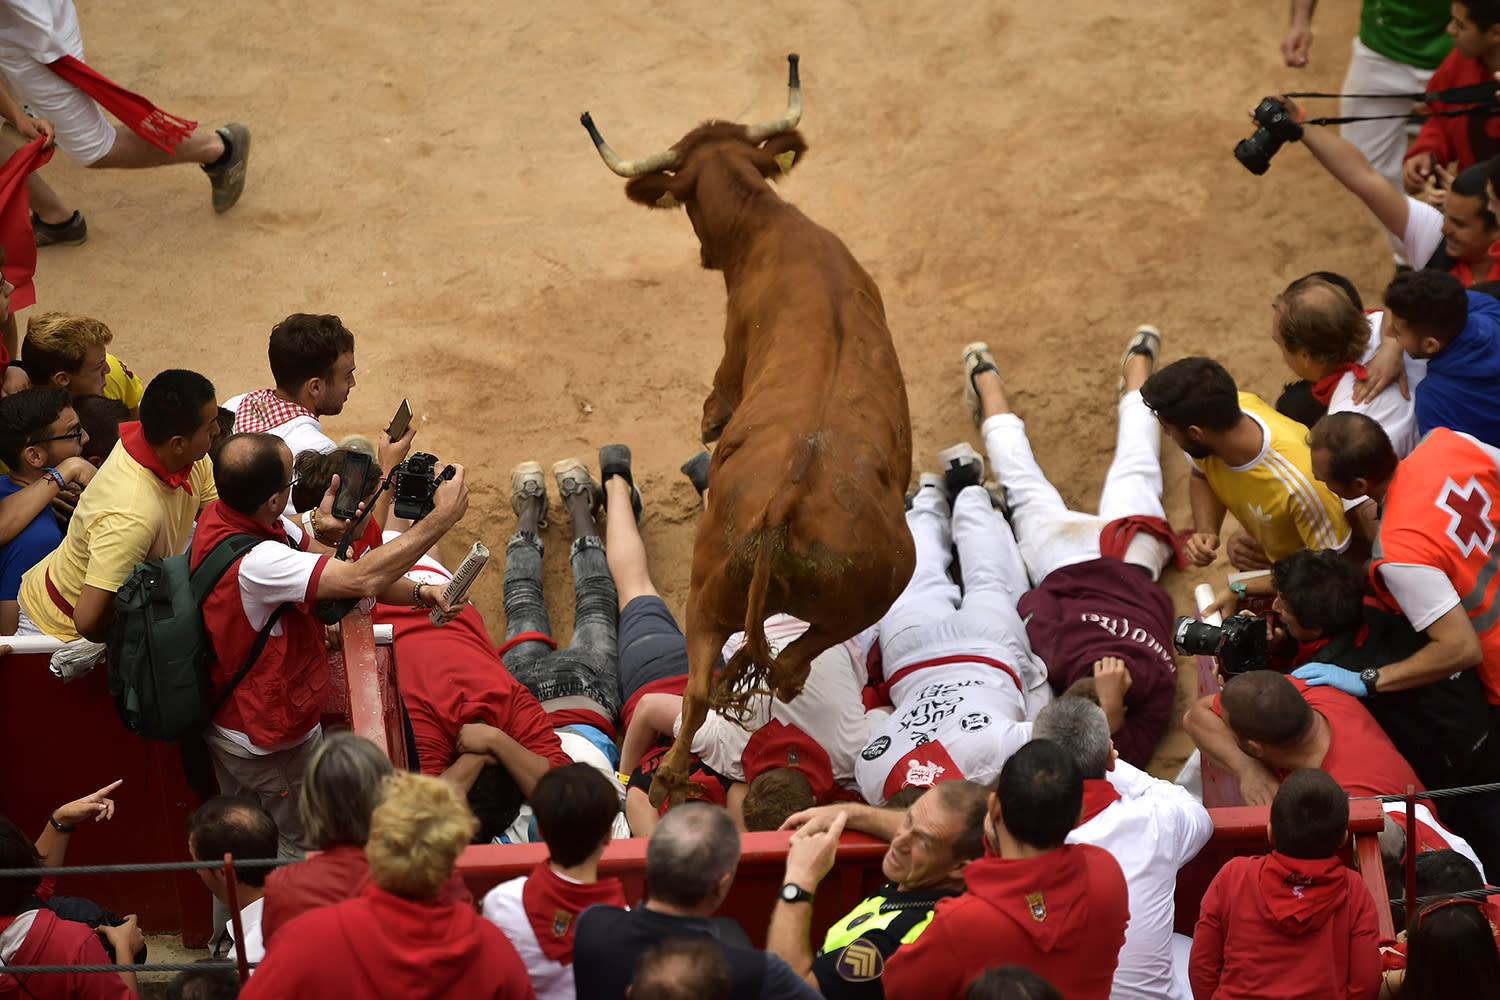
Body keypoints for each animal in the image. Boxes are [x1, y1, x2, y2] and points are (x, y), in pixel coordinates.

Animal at [585, 56, 912, 803]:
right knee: (756, 674)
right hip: (826, 587)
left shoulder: (727, 367)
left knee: (728, 681)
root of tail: (788, 503)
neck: (773, 225)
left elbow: (712, 409)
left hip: (722, 595)